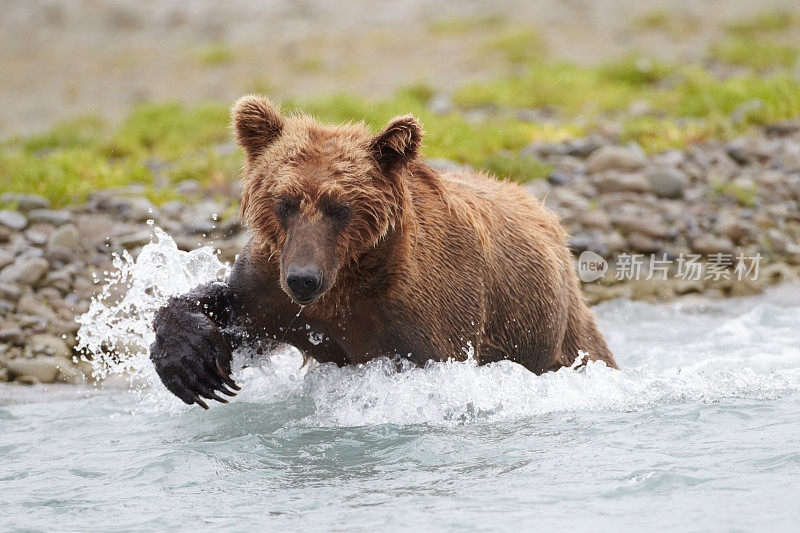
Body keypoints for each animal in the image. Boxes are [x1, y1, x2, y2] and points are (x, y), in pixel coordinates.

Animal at [147, 94, 616, 408]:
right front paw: (193, 364)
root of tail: (544, 210)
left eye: (340, 207)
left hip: (557, 328)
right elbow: (231, 308)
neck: (349, 278)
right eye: (285, 201)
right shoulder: (272, 289)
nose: (303, 279)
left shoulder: (427, 310)